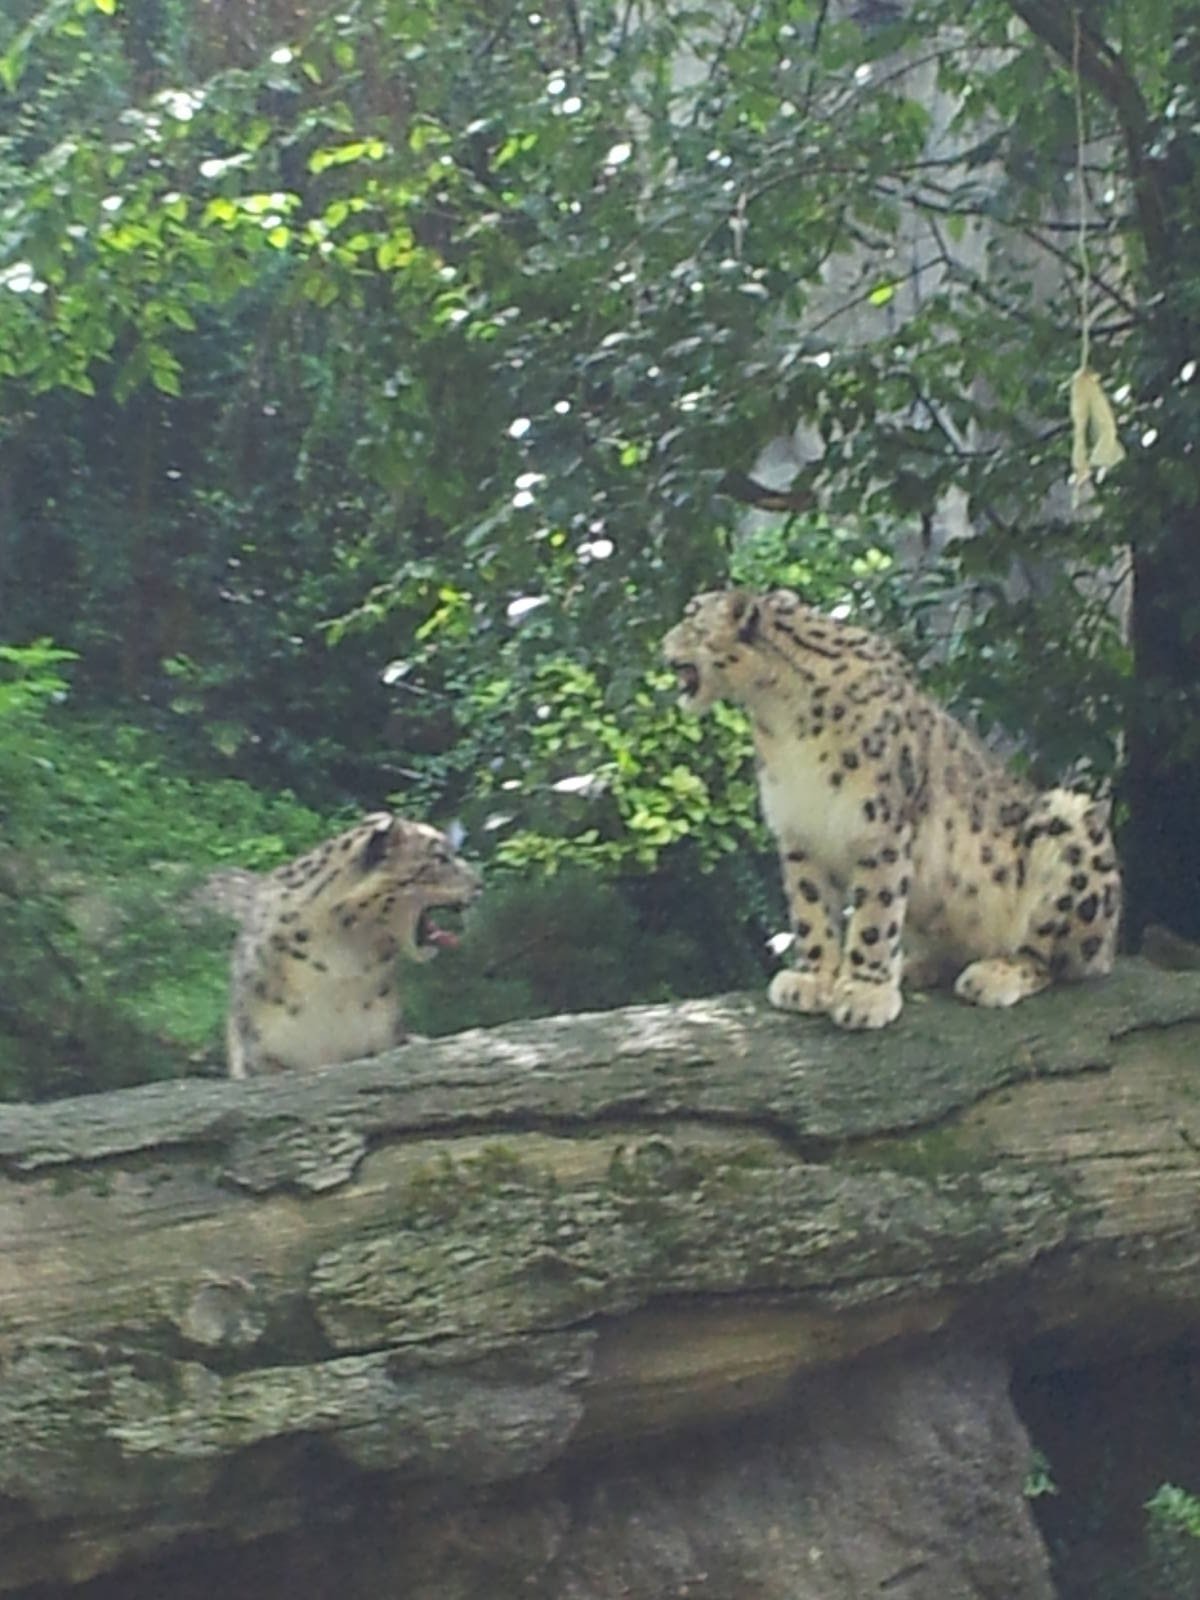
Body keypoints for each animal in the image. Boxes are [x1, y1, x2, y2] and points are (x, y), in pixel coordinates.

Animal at [663, 587, 1121, 1031]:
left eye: (689, 616)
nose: (663, 645)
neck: (779, 717)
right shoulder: (798, 829)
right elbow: (811, 909)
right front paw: (814, 979)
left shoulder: (880, 825)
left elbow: (875, 912)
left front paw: (864, 994)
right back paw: (918, 967)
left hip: (1071, 833)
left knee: (1052, 959)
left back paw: (994, 974)